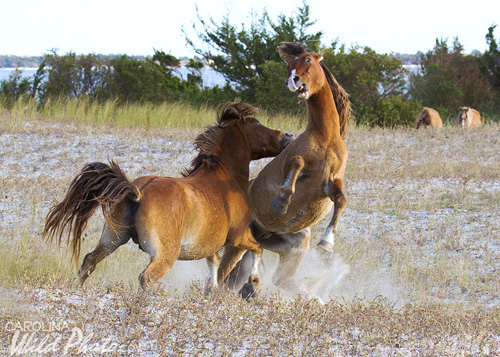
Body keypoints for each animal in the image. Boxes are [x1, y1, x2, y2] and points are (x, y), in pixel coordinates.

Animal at [44, 101, 292, 292]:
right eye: (256, 123)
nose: (288, 135)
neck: (225, 176)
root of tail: (137, 193)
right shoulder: (239, 235)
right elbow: (256, 250)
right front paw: (254, 281)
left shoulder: (209, 246)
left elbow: (214, 268)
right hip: (165, 254)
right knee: (146, 278)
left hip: (113, 238)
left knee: (89, 260)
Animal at [223, 41, 352, 296]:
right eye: (289, 64)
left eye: (308, 60)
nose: (292, 81)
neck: (326, 137)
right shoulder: (291, 167)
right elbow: (297, 163)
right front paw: (281, 203)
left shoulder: (330, 183)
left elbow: (341, 199)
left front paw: (327, 242)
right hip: (238, 244)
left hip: (293, 248)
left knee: (281, 279)